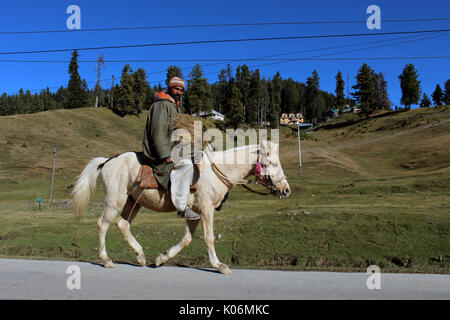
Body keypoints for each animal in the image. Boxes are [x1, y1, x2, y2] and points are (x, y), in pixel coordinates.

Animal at [73, 141, 292, 276]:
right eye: (272, 162)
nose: (286, 190)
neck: (216, 171)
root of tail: (108, 161)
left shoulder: (194, 214)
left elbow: (186, 239)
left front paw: (161, 258)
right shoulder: (206, 210)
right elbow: (209, 238)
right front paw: (219, 265)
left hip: (133, 202)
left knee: (122, 224)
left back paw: (141, 256)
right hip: (114, 202)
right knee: (103, 224)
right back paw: (106, 260)